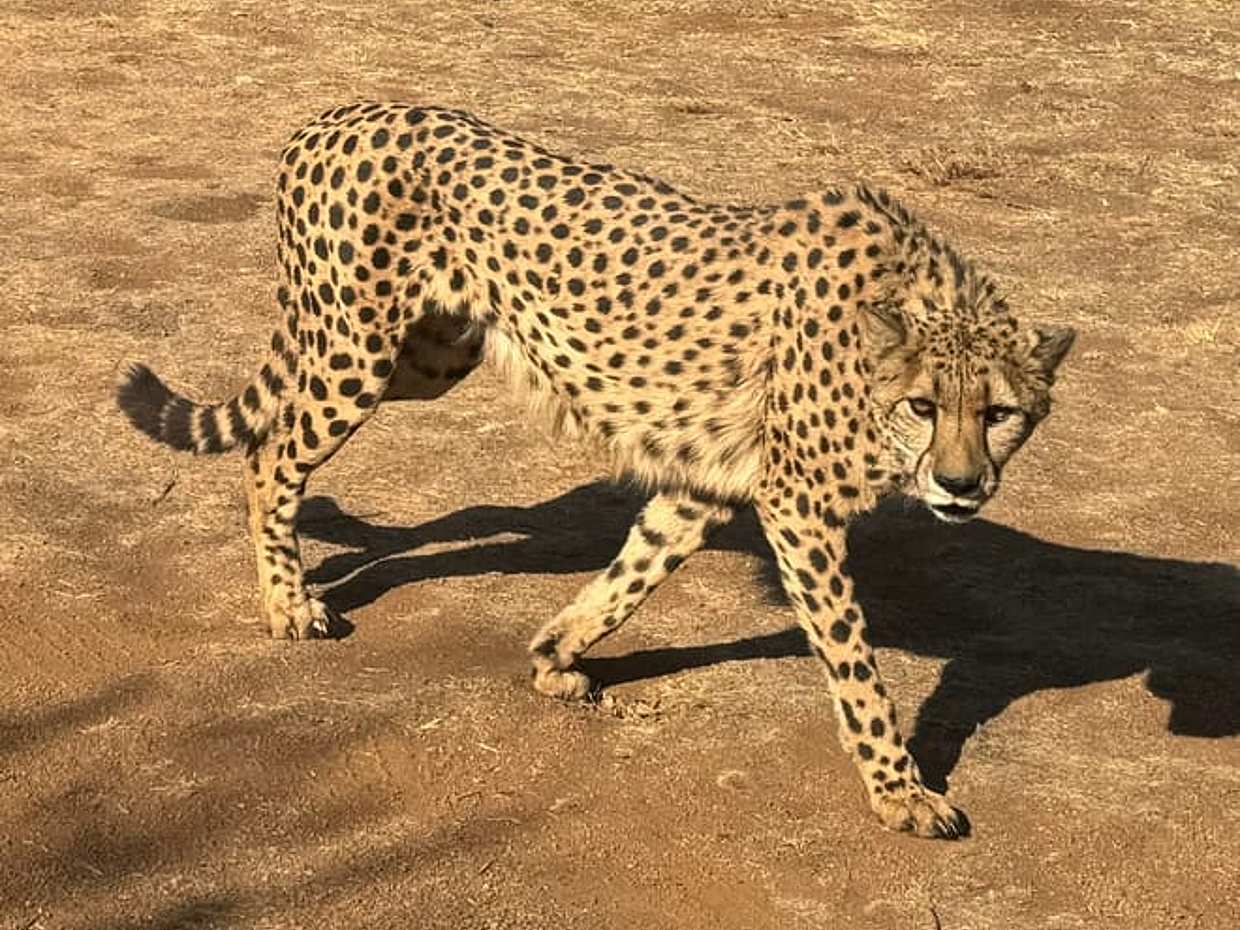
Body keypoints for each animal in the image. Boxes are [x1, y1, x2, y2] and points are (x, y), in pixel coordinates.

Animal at [116, 102, 1075, 839]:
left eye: (1000, 415)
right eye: (924, 407)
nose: (961, 486)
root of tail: (337, 115)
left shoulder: (705, 483)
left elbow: (632, 575)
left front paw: (555, 654)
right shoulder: (798, 505)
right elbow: (854, 663)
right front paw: (901, 793)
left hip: (427, 356)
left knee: (305, 446)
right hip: (358, 352)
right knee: (271, 451)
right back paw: (288, 602)